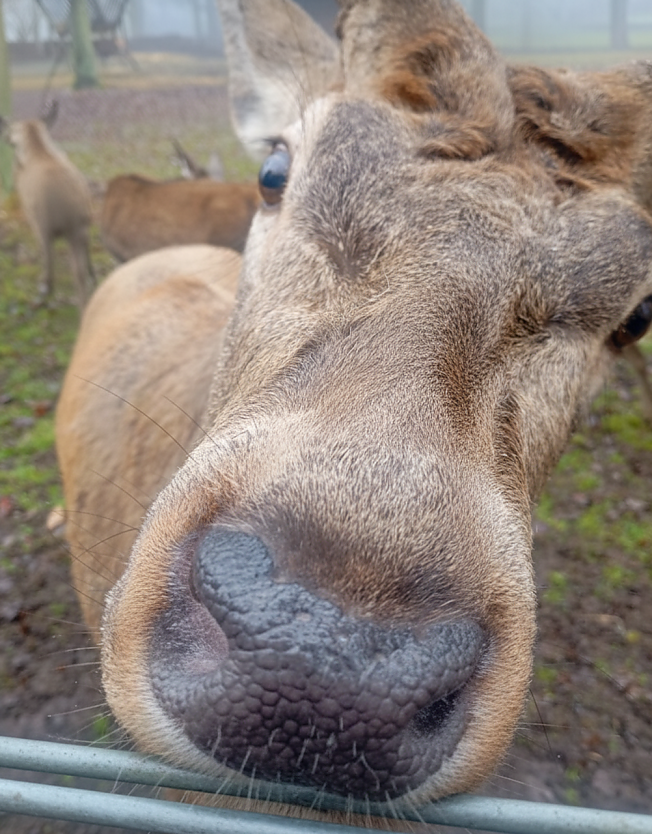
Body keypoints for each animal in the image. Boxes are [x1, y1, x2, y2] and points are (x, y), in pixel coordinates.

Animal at [0, 101, 96, 308]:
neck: (38, 149)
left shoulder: (35, 221)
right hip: (81, 227)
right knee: (82, 268)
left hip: (48, 228)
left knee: (57, 270)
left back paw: (43, 294)